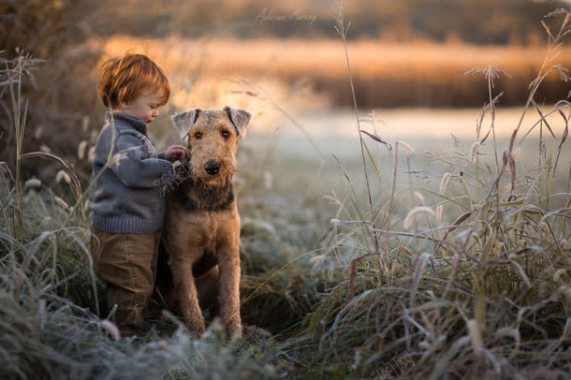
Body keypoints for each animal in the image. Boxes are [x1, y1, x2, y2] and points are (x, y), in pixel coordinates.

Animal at [160, 106, 251, 336]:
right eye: (197, 134)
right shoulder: (180, 256)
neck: (209, 194)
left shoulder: (229, 252)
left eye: (226, 133)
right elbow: (190, 300)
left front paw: (235, 334)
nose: (211, 167)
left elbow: (231, 297)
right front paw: (197, 335)